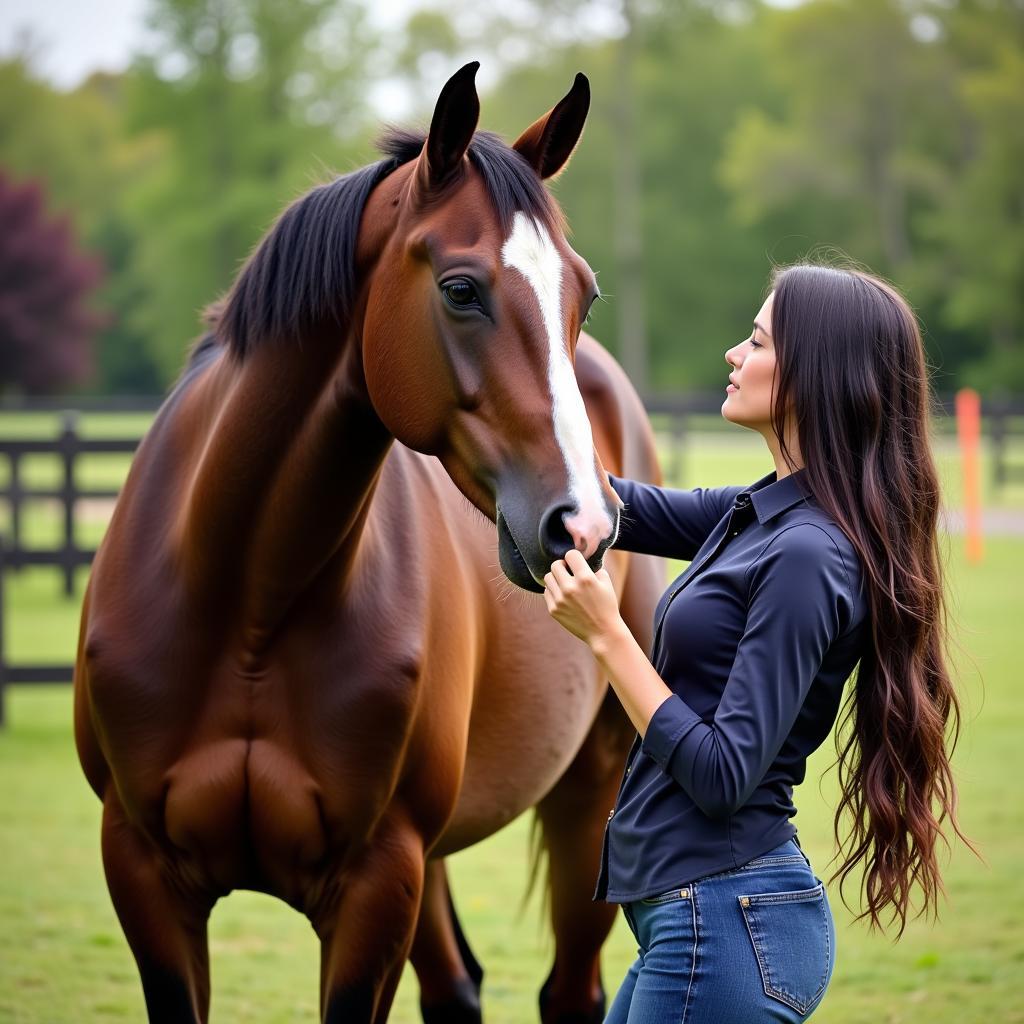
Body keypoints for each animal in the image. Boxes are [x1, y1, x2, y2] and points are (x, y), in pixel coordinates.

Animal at [72, 64, 663, 1024]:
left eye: (584, 293)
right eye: (460, 289)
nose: (584, 525)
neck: (249, 608)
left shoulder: (377, 879)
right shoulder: (144, 874)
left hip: (591, 792)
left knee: (569, 991)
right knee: (456, 988)